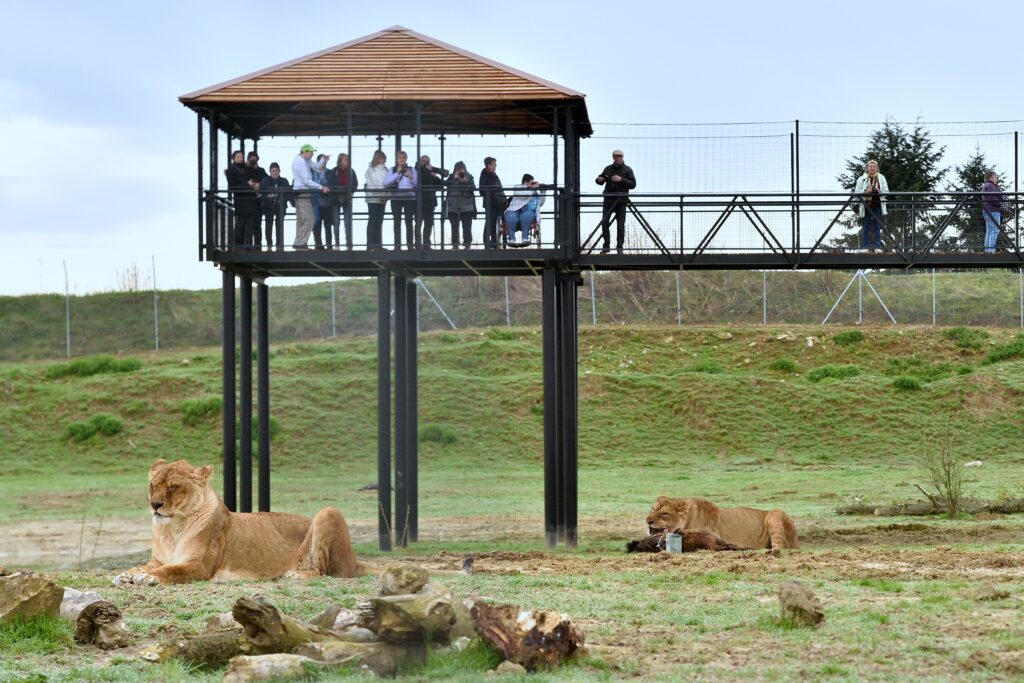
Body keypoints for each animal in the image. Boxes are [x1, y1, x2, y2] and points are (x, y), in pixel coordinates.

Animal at [113, 462, 364, 585]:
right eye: (153, 486)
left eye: (174, 487)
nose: (154, 504)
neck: (172, 529)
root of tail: (355, 558)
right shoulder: (157, 559)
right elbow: (143, 566)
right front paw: (126, 574)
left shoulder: (199, 566)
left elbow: (171, 570)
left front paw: (147, 577)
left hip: (328, 512)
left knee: (329, 573)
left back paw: (295, 575)